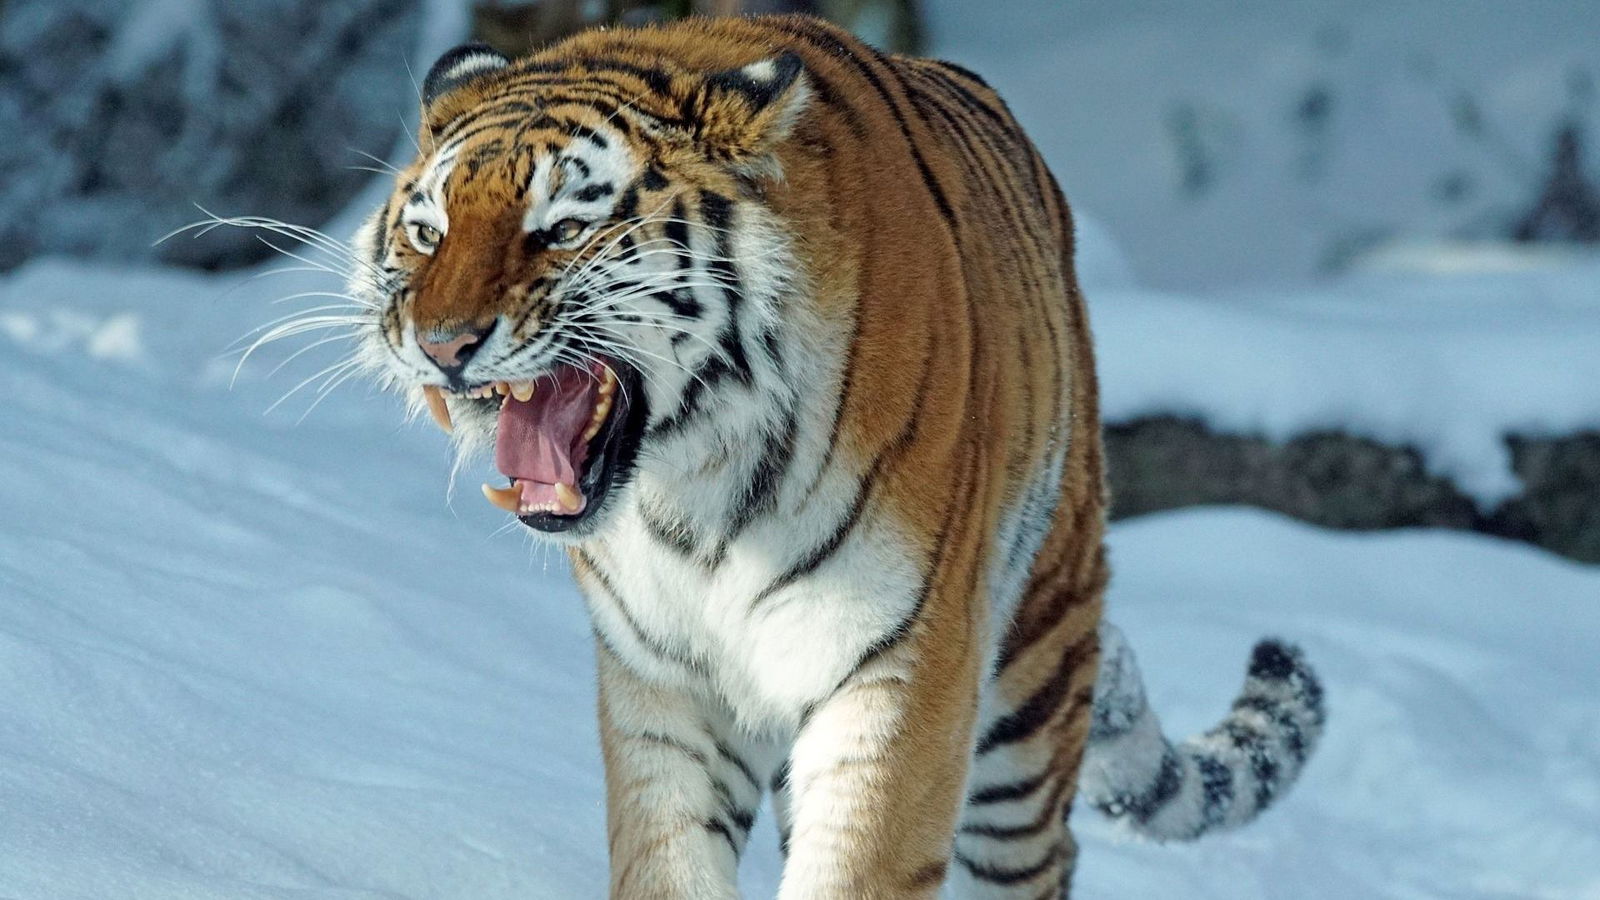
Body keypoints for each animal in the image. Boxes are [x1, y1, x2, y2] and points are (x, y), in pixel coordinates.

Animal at [345, 14, 1325, 898]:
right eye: (428, 233)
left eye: (560, 230)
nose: (439, 344)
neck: (693, 485)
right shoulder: (663, 686)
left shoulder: (900, 668)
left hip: (1032, 683)